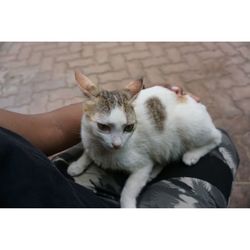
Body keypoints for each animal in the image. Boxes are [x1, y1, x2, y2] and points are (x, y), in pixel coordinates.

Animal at [67, 71, 222, 209]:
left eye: (129, 127)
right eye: (103, 127)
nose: (117, 144)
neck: (102, 149)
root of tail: (193, 101)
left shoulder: (142, 165)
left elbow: (128, 191)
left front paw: (128, 206)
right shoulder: (89, 139)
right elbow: (88, 152)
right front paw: (77, 165)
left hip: (187, 125)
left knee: (217, 137)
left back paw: (192, 155)